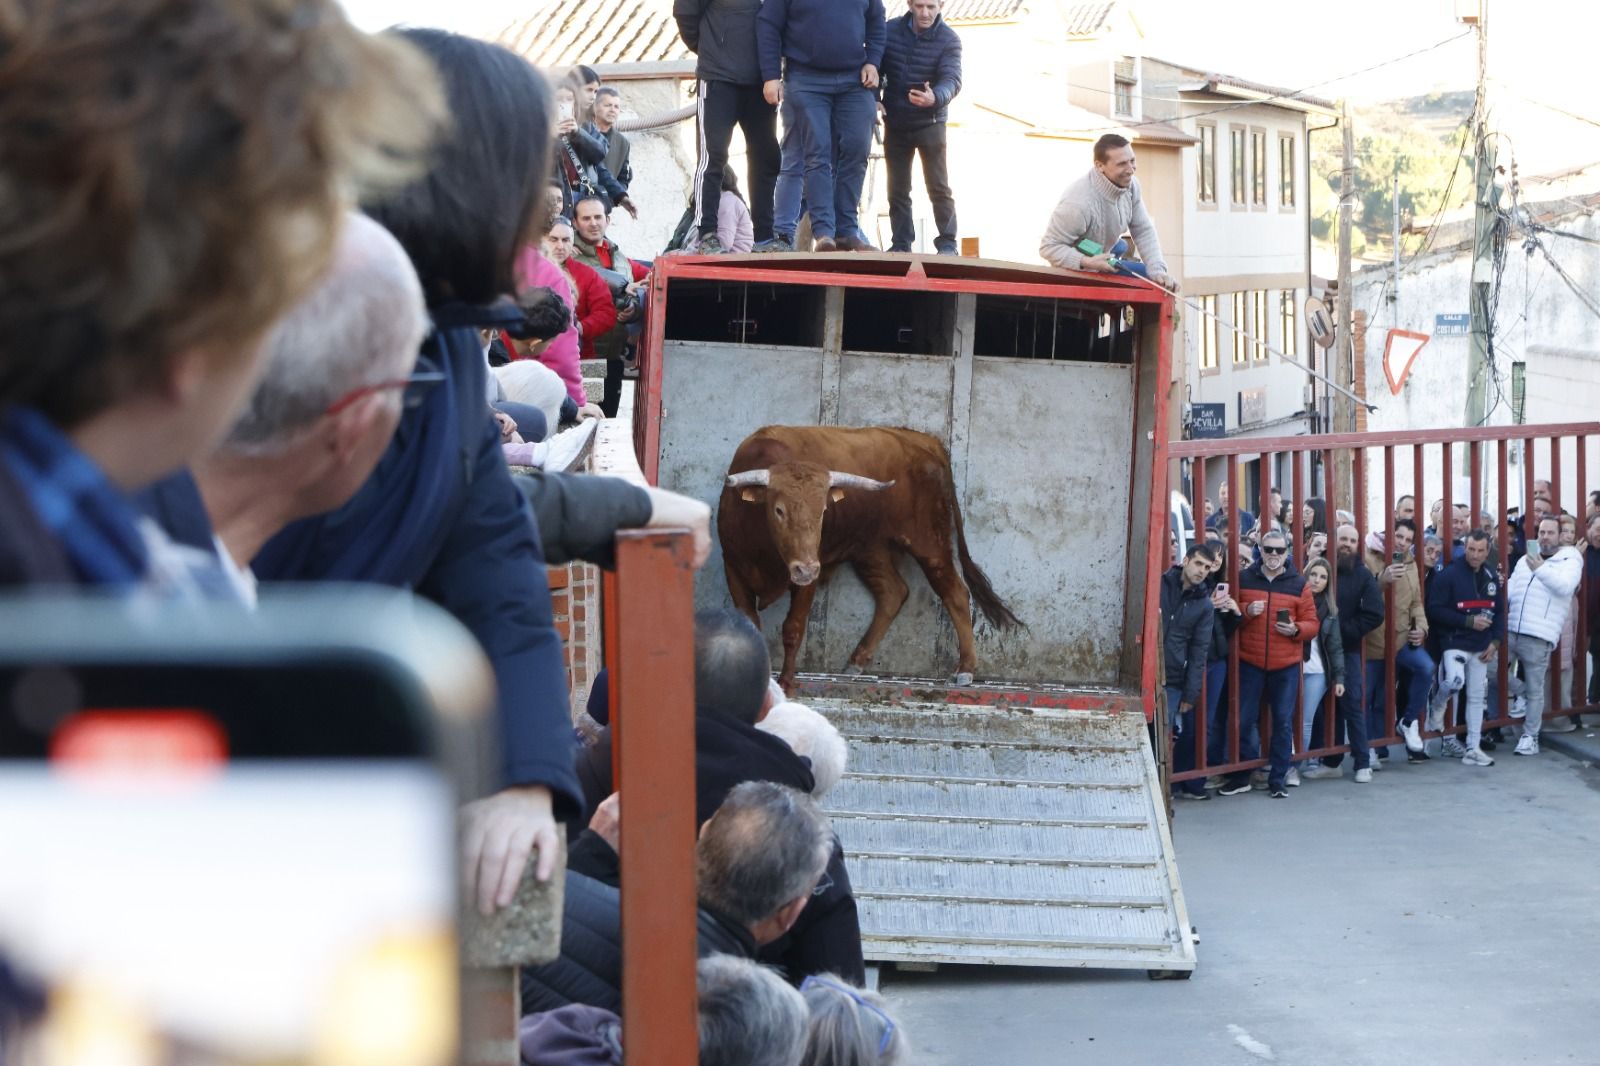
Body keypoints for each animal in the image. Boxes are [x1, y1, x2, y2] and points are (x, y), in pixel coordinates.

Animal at [720, 422, 1017, 688]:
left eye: (823, 511)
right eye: (779, 510)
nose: (805, 568)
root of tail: (922, 441)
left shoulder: (808, 579)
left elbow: (793, 627)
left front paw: (787, 682)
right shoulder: (733, 569)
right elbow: (750, 623)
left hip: (929, 543)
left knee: (955, 593)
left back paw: (965, 669)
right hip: (870, 550)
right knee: (893, 592)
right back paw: (856, 661)